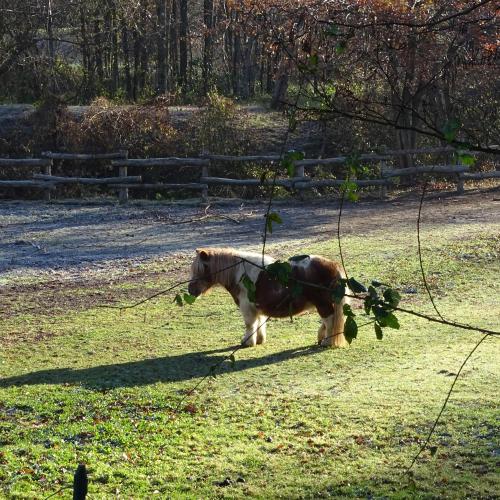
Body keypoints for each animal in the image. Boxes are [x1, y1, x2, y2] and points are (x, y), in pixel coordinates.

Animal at [188, 247, 352, 348]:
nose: (191, 290)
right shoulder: (257, 308)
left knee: (329, 321)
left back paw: (327, 342)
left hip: (322, 304)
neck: (240, 274)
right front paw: (259, 340)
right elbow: (259, 323)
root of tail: (334, 265)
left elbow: (250, 324)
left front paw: (248, 342)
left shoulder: (247, 308)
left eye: (203, 268)